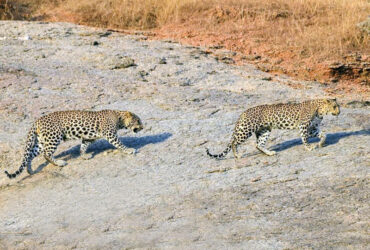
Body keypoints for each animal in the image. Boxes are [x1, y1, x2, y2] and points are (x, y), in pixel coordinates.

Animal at [4, 109, 143, 178]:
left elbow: (83, 146)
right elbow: (119, 143)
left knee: (30, 155)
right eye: (138, 120)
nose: (142, 127)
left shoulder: (88, 138)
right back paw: (60, 163)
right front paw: (129, 150)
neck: (119, 118)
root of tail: (37, 121)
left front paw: (84, 155)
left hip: (41, 141)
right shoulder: (110, 133)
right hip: (54, 137)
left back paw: (30, 170)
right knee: (46, 154)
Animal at [207, 98, 340, 159]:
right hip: (246, 130)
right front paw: (309, 147)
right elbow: (305, 139)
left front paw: (321, 143)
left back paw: (269, 153)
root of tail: (243, 113)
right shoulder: (303, 126)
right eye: (335, 106)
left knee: (258, 144)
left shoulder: (312, 128)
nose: (339, 112)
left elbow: (323, 134)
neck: (320, 110)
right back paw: (237, 155)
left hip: (264, 131)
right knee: (234, 142)